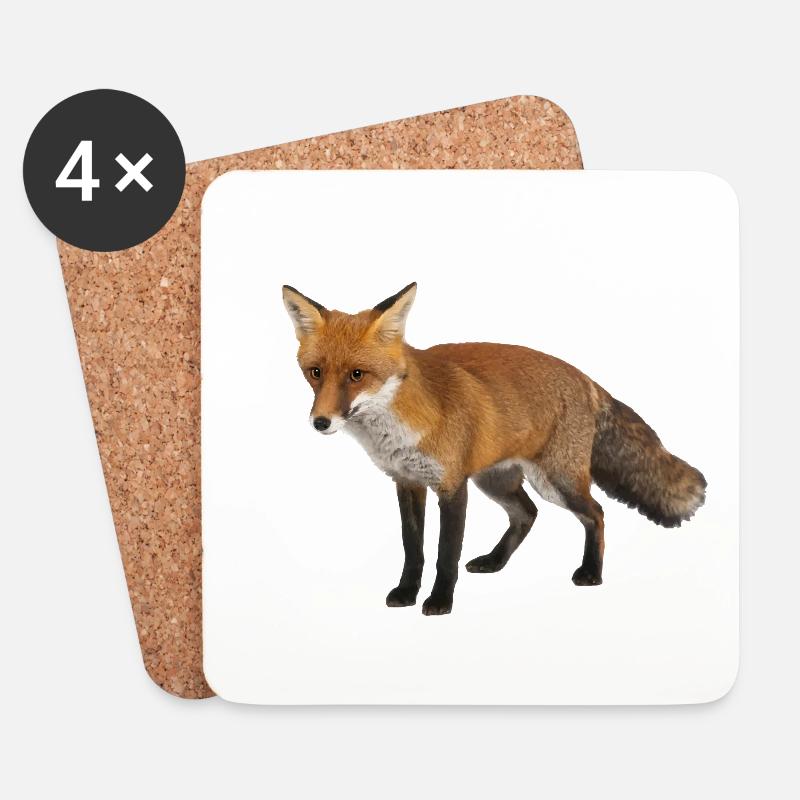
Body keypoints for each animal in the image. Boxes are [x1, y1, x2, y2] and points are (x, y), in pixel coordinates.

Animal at [282, 282, 706, 616]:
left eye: (357, 375)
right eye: (315, 372)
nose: (321, 422)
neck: (398, 427)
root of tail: (585, 378)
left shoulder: (452, 486)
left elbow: (445, 554)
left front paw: (439, 602)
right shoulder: (407, 482)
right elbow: (413, 549)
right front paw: (406, 592)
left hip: (557, 482)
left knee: (596, 514)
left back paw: (591, 573)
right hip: (496, 481)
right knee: (528, 514)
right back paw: (495, 562)